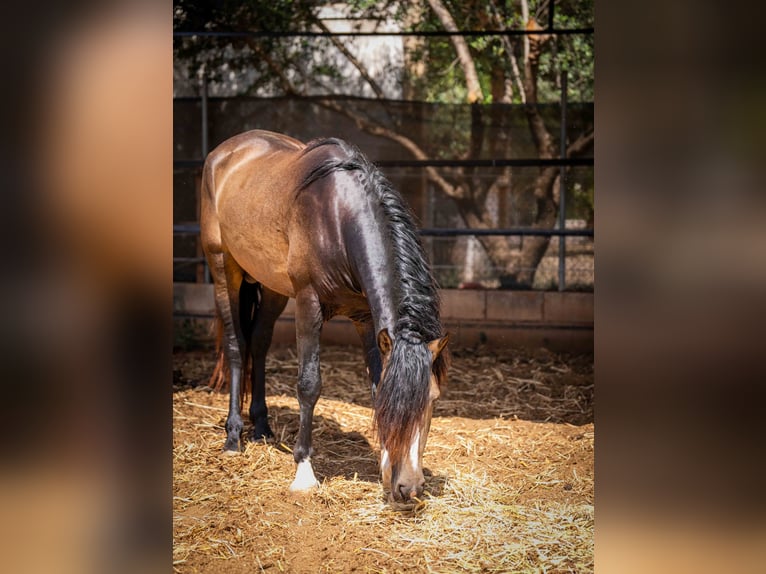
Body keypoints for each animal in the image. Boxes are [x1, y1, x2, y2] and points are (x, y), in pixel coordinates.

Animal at [200, 132, 450, 508]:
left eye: (432, 399)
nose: (409, 487)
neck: (337, 216)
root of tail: (226, 150)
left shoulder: (366, 318)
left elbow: (375, 383)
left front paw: (384, 467)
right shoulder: (308, 303)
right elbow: (309, 384)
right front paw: (304, 472)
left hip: (272, 287)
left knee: (258, 343)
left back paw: (262, 428)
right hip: (222, 267)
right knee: (235, 346)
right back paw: (233, 438)